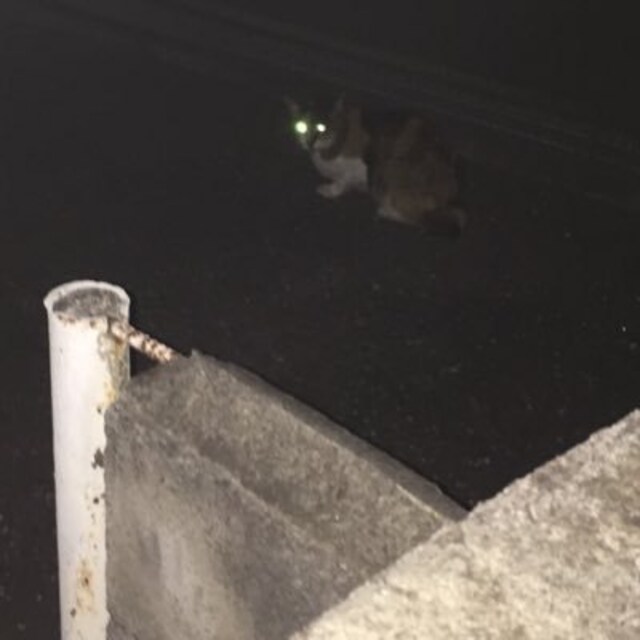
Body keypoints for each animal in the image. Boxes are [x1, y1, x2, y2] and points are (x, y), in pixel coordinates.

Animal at [285, 95, 466, 236]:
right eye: (301, 126)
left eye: (321, 127)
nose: (309, 142)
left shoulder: (361, 164)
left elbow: (343, 179)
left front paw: (332, 190)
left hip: (391, 170)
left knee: (417, 217)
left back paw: (387, 211)